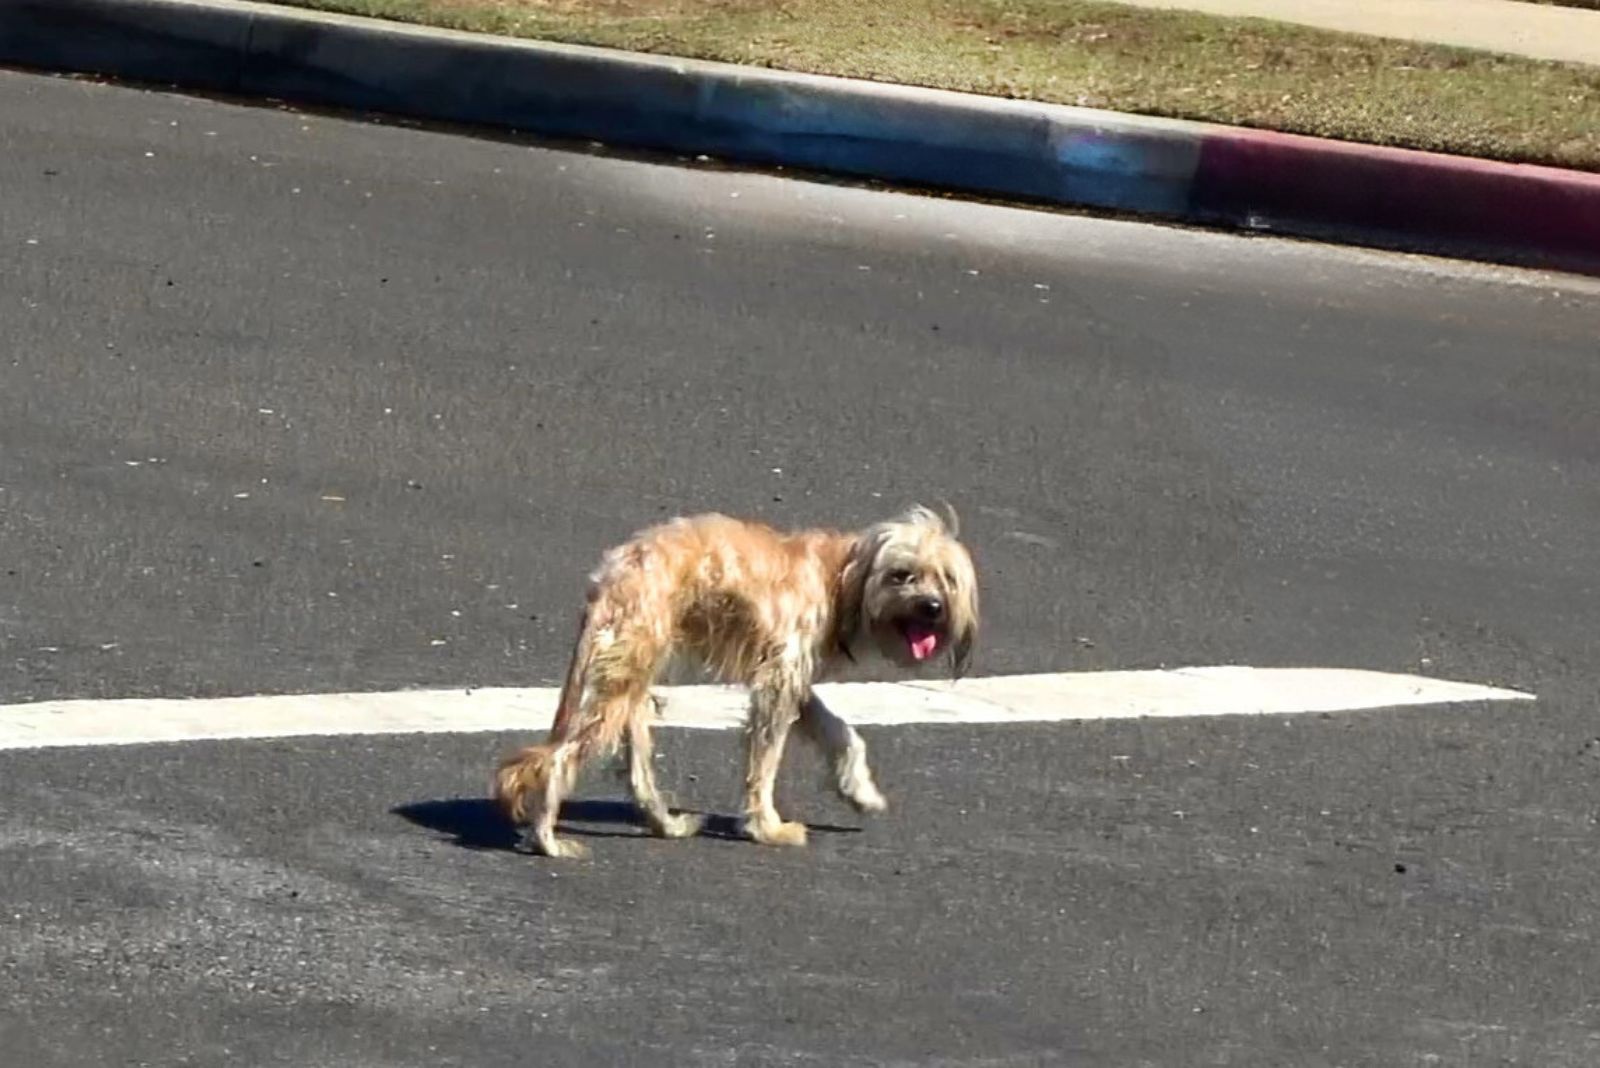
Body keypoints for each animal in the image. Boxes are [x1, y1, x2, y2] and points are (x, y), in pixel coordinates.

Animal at [492, 508, 979, 856]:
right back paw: (548, 840)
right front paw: (767, 827)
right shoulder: (778, 684)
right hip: (618, 684)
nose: (932, 607)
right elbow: (764, 765)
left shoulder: (793, 680)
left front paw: (859, 791)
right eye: (902, 575)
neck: (841, 577)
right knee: (558, 760)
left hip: (629, 681)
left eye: (947, 580)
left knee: (634, 768)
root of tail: (612, 575)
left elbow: (839, 731)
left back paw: (666, 824)